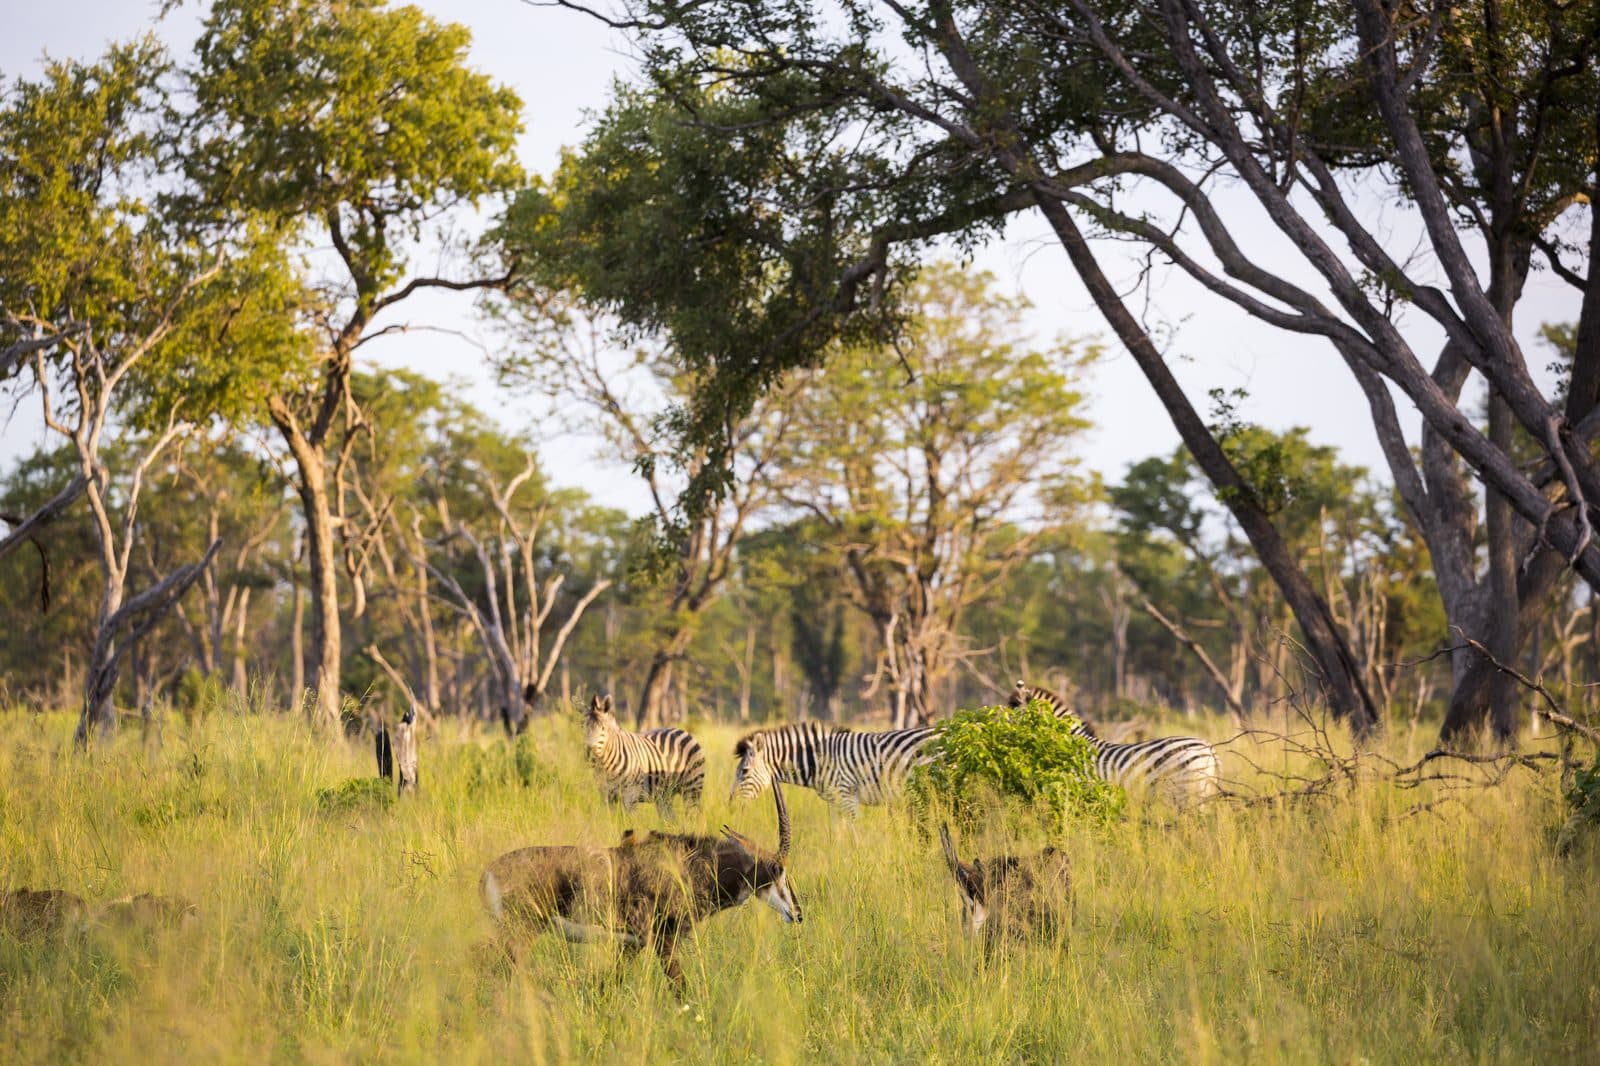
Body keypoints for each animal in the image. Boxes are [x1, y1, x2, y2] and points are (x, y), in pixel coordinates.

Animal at [730, 721, 936, 817]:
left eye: (744, 771)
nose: (731, 806)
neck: (820, 760)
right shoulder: (835, 801)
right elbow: (839, 836)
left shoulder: (847, 796)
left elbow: (854, 834)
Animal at [1009, 680, 1221, 805]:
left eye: (1013, 706)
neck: (1071, 742)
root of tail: (1208, 747)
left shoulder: (1078, 787)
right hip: (1202, 791)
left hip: (1188, 790)